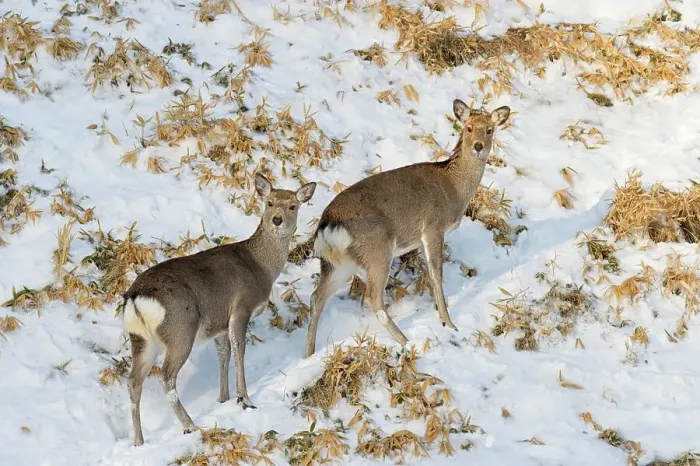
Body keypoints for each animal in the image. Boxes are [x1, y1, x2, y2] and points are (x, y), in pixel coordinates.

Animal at [122, 173, 316, 446]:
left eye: (292, 206)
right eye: (269, 202)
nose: (277, 219)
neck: (261, 268)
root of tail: (135, 297)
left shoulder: (219, 324)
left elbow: (224, 354)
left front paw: (223, 398)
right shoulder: (242, 306)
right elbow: (239, 349)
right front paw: (244, 399)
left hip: (141, 340)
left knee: (133, 382)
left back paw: (139, 441)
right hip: (181, 329)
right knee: (166, 377)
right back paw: (190, 425)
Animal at [305, 99, 510, 357]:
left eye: (490, 129)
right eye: (469, 127)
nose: (478, 146)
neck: (454, 190)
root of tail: (328, 225)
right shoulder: (433, 227)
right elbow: (436, 275)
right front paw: (448, 323)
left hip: (338, 263)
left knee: (317, 297)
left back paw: (308, 353)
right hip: (378, 249)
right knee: (372, 297)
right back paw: (406, 341)